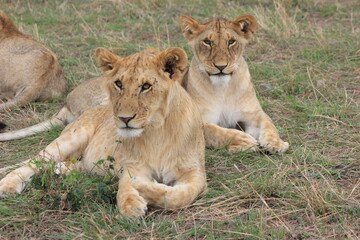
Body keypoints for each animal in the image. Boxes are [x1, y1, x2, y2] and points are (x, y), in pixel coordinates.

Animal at [0, 47, 205, 218]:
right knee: (34, 161)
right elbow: (126, 187)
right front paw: (131, 204)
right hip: (72, 138)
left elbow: (181, 196)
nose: (124, 118)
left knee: (74, 164)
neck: (157, 132)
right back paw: (8, 184)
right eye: (118, 84)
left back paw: (61, 170)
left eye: (146, 86)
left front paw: (141, 186)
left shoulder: (195, 172)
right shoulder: (133, 165)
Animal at [180, 15, 290, 154]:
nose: (221, 66)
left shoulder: (253, 114)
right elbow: (215, 131)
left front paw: (276, 143)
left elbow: (269, 124)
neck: (223, 89)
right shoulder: (194, 123)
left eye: (231, 41)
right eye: (207, 42)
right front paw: (245, 141)